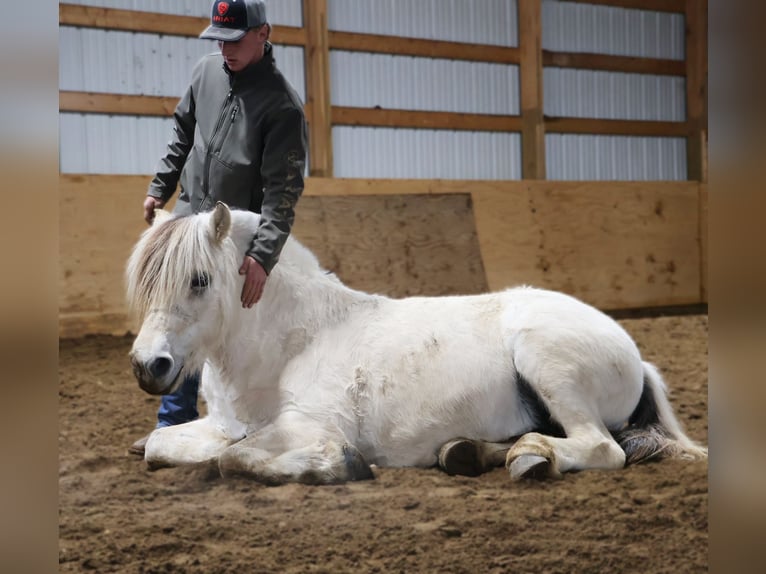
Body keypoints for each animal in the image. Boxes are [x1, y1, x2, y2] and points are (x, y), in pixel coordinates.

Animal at [126, 202, 707, 485]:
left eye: (200, 279)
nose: (148, 365)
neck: (289, 342)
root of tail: (636, 356)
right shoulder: (224, 426)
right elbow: (161, 445)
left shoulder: (307, 425)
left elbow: (234, 460)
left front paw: (338, 467)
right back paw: (471, 453)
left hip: (546, 362)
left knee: (600, 448)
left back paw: (530, 458)